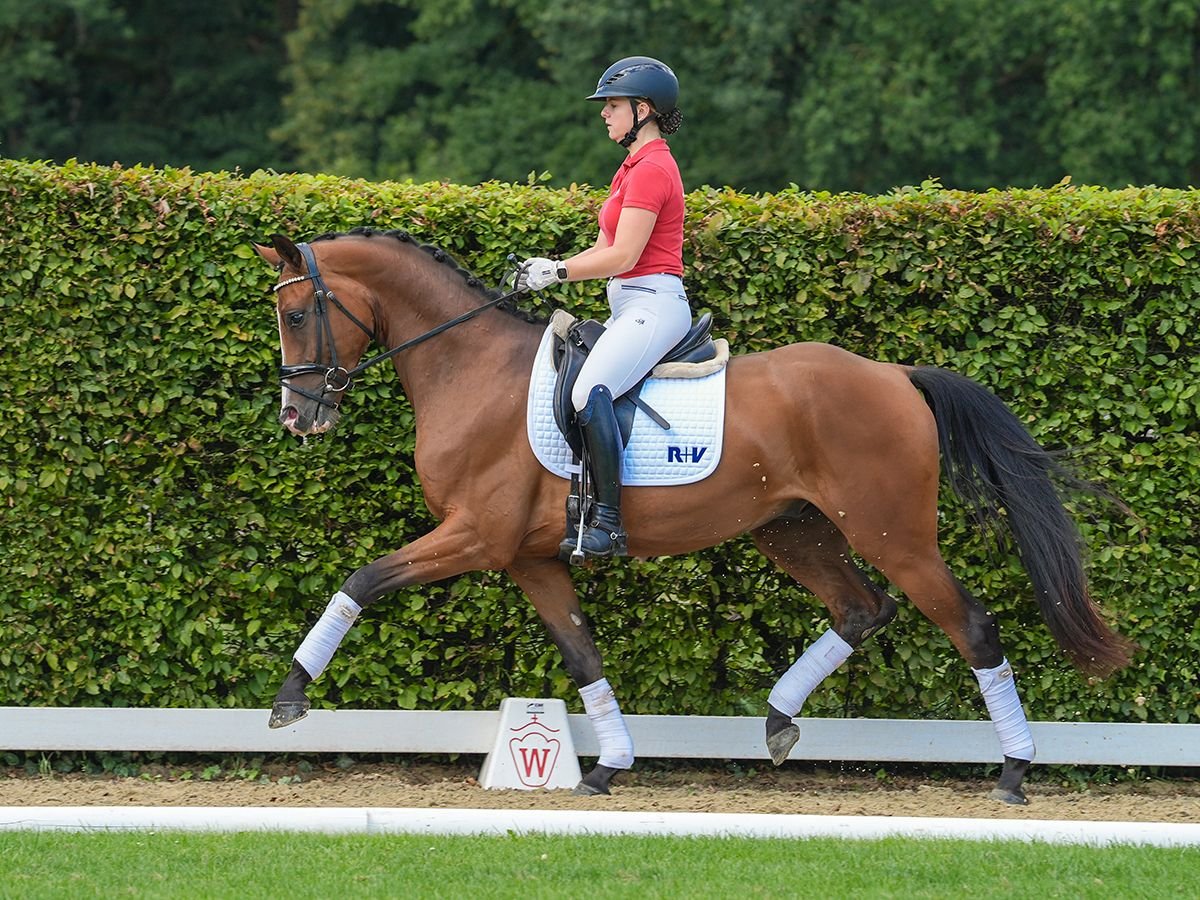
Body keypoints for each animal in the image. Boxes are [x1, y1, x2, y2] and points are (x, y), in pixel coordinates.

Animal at [255, 225, 1132, 801]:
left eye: (296, 316)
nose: (297, 419)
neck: (469, 369)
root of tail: (897, 375)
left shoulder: (475, 536)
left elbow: (363, 579)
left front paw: (291, 697)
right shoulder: (529, 557)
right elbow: (583, 656)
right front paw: (609, 765)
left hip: (894, 534)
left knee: (970, 627)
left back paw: (1013, 773)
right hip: (793, 530)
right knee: (861, 608)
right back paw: (777, 721)